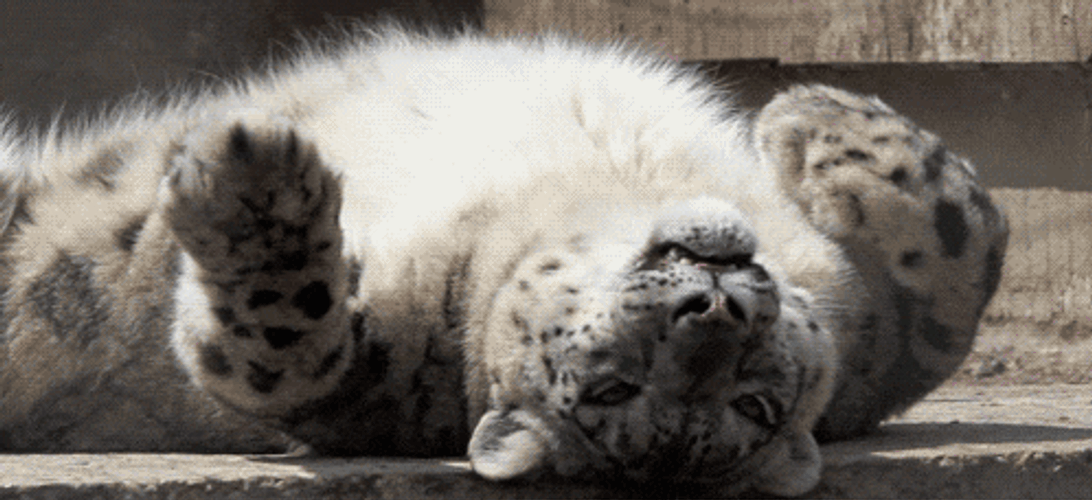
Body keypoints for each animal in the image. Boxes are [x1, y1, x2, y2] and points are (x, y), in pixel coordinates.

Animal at [0, 26, 1007, 496]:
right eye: (611, 388)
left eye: (752, 403)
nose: (717, 311)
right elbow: (966, 258)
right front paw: (824, 122)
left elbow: (284, 352)